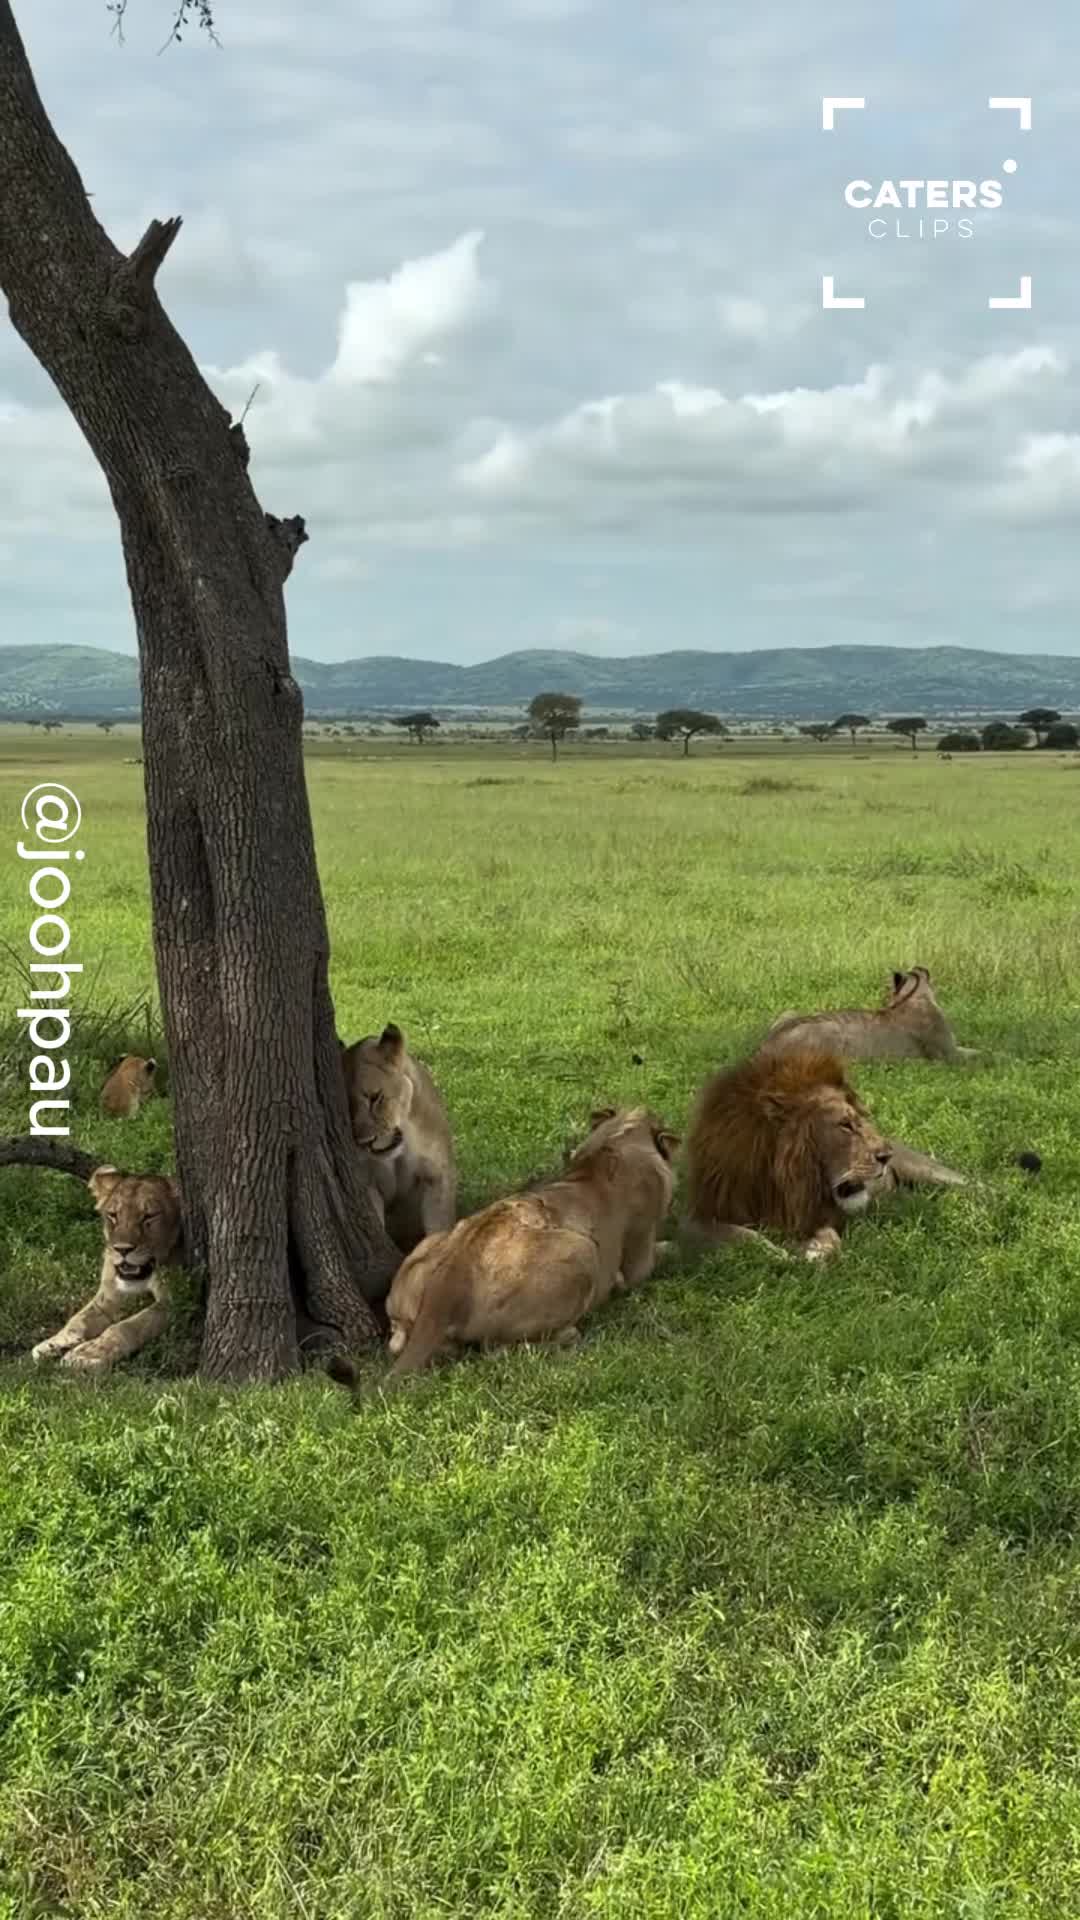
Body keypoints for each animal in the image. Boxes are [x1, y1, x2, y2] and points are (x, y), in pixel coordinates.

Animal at [30, 1165, 182, 1374]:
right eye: (113, 1215)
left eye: (149, 1216)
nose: (122, 1249)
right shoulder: (109, 1294)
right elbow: (79, 1319)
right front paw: (55, 1343)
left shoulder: (172, 1302)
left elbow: (129, 1326)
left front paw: (88, 1354)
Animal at [340, 1023, 456, 1254]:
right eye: (347, 1109)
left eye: (375, 1098)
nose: (365, 1142)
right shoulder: (368, 1183)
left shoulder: (438, 1175)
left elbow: (440, 1228)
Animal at [378, 1105, 679, 1380]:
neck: (617, 1141)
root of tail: (448, 1281)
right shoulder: (639, 1258)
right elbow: (663, 1252)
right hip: (583, 1252)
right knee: (497, 1349)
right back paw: (570, 1334)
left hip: (431, 1245)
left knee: (399, 1341)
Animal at [684, 1045, 965, 1263]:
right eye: (845, 1125)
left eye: (860, 1121)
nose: (887, 1155)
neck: (783, 1185)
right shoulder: (697, 1216)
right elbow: (743, 1235)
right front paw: (778, 1253)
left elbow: (829, 1236)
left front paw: (816, 1252)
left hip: (929, 1171)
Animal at [762, 966, 978, 1064]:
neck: (912, 996)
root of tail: (767, 1045)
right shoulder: (949, 1054)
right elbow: (980, 1053)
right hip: (832, 1030)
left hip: (789, 1012)